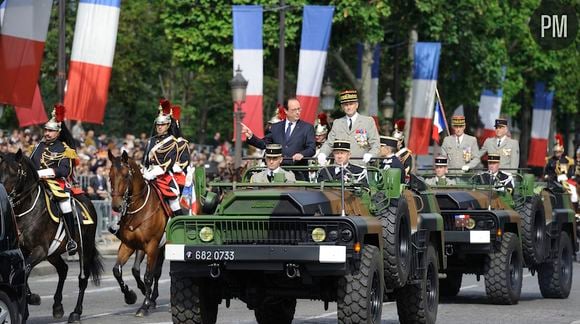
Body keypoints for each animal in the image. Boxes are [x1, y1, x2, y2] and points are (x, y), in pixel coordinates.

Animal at [107, 150, 167, 316]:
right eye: (109, 175)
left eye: (125, 175)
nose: (116, 206)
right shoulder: (129, 245)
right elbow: (117, 270)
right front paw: (130, 295)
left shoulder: (152, 245)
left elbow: (148, 276)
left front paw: (144, 306)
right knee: (148, 271)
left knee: (155, 272)